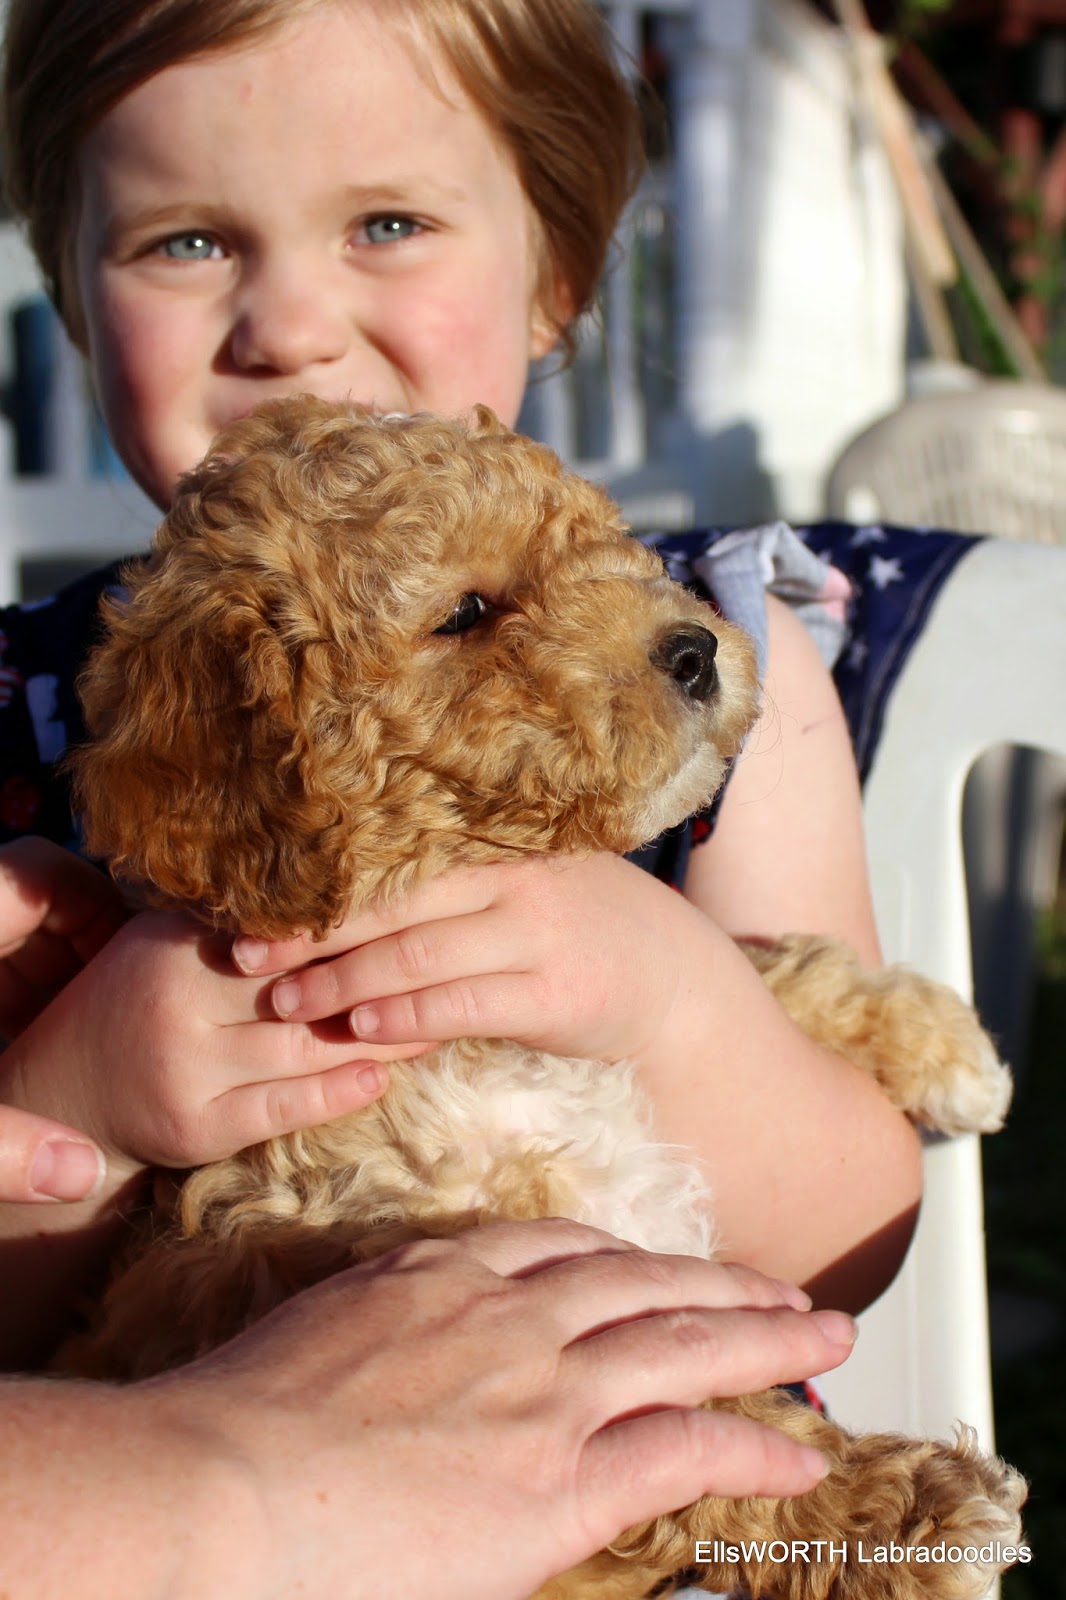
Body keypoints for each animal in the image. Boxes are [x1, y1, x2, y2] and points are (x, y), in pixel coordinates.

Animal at [66, 396, 1025, 1599]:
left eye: (596, 541)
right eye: (466, 613)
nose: (697, 646)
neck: (484, 1053)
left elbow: (746, 961)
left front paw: (938, 1038)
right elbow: (696, 1418)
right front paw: (898, 1507)